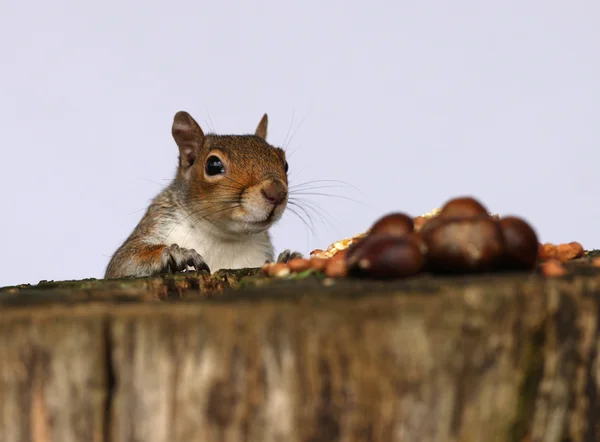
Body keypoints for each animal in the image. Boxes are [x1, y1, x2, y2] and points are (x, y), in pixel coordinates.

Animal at [103, 109, 302, 280]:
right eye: (213, 165)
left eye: (285, 164)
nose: (277, 193)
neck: (222, 237)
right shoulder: (158, 223)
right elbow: (124, 262)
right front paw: (175, 253)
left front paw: (287, 259)